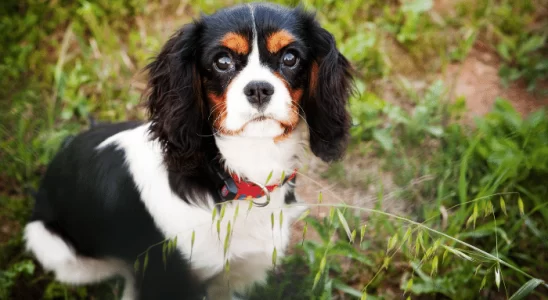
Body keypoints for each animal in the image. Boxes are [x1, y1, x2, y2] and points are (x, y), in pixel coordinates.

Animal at [24, 2, 352, 300]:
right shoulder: (170, 279)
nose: (259, 89)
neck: (235, 173)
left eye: (290, 57)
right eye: (222, 61)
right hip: (57, 250)